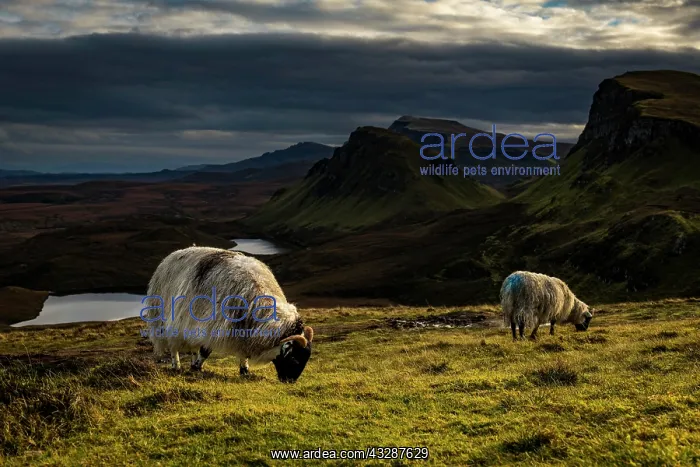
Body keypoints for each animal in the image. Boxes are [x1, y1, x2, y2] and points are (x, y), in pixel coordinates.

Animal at [142, 246, 313, 383]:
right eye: (294, 359)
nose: (290, 381)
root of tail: (172, 255)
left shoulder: (242, 329)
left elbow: (243, 352)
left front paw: (244, 370)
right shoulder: (214, 325)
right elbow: (206, 350)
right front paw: (196, 367)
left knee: (192, 345)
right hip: (167, 318)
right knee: (173, 346)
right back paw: (176, 365)